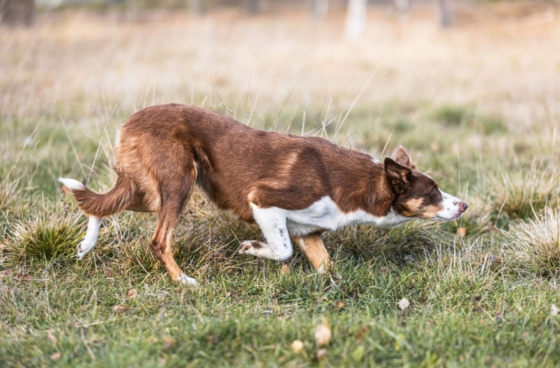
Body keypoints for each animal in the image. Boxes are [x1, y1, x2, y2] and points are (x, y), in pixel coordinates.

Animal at [59, 103, 466, 284]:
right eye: (433, 191)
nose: (463, 205)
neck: (362, 186)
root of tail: (130, 121)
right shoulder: (264, 200)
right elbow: (281, 249)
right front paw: (252, 248)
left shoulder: (309, 233)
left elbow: (327, 267)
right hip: (178, 184)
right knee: (159, 241)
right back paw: (184, 281)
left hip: (152, 191)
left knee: (101, 205)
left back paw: (85, 245)